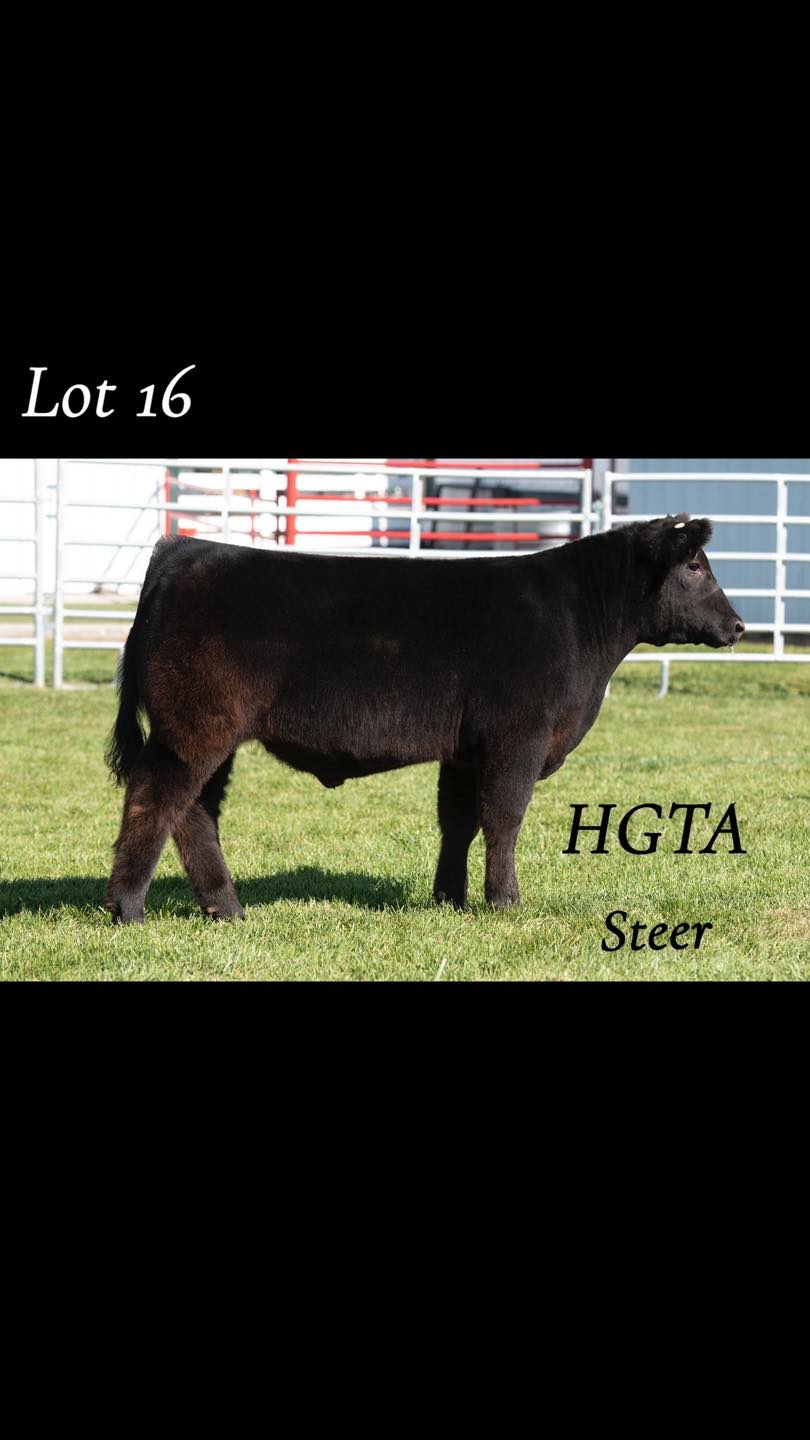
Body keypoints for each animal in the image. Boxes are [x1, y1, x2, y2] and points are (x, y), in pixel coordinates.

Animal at [104, 514, 744, 924]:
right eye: (693, 566)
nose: (738, 626)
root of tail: (186, 550)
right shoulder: (519, 737)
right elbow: (504, 819)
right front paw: (504, 902)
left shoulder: (465, 749)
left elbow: (459, 821)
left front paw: (449, 900)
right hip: (193, 729)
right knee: (154, 801)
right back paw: (127, 908)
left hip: (211, 735)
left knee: (194, 813)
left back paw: (227, 909)